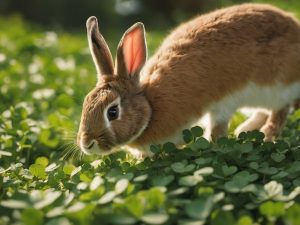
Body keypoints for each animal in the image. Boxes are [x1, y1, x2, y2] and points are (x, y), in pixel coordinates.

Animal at [77, 3, 300, 156]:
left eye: (112, 112)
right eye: (85, 103)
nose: (86, 144)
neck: (151, 107)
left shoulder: (221, 106)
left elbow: (217, 130)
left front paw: (213, 145)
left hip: (277, 86)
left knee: (281, 111)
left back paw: (266, 136)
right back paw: (244, 129)